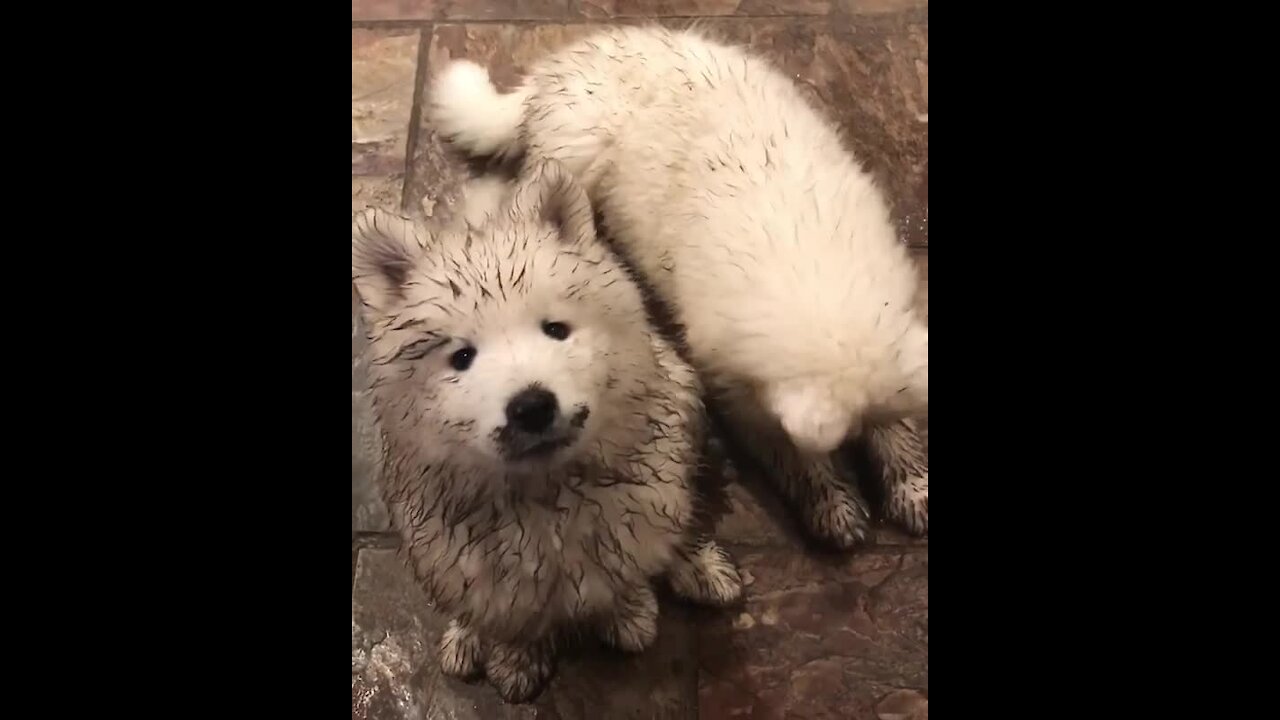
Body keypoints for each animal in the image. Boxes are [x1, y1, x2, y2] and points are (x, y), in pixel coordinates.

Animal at [355, 158, 747, 702]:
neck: (546, 498)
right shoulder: (471, 562)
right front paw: (516, 658)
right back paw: (465, 636)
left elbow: (625, 570)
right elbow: (511, 615)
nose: (532, 407)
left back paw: (699, 569)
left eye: (556, 330)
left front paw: (630, 613)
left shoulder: (639, 508)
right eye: (462, 357)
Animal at [430, 26, 931, 543]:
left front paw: (911, 484)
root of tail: (554, 70)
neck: (813, 272)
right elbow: (794, 458)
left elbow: (898, 431)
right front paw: (832, 505)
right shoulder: (742, 393)